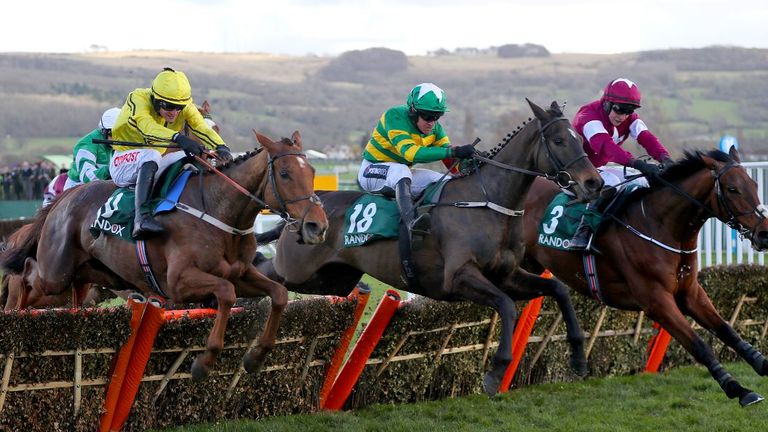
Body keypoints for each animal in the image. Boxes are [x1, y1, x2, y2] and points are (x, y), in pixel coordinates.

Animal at [0, 130, 328, 380]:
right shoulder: (180, 282)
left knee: (69, 287)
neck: (216, 209)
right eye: (284, 174)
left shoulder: (242, 273)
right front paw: (204, 362)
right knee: (25, 272)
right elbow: (226, 293)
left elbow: (279, 294)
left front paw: (256, 356)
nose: (317, 226)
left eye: (312, 172)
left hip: (95, 273)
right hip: (55, 273)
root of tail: (66, 197)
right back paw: (14, 312)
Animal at [252, 98, 608, 394]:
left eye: (579, 138)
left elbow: (559, 291)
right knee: (265, 272)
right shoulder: (460, 277)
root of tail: (305, 210)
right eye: (559, 140)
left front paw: (578, 356)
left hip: (332, 279)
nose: (594, 183)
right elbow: (506, 306)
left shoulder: (507, 275)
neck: (487, 203)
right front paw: (496, 373)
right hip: (296, 268)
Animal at [524, 147, 768, 406]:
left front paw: (762, 364)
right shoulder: (656, 301)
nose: (764, 234)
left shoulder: (690, 293)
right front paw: (737, 389)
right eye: (732, 189)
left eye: (754, 185)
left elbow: (726, 330)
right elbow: (699, 344)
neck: (660, 226)